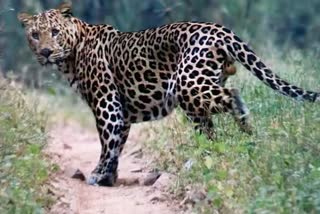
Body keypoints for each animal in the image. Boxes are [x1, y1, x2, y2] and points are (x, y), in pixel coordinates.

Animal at [18, 2, 318, 186]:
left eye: (54, 32)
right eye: (35, 35)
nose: (45, 52)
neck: (72, 54)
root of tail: (221, 29)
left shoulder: (107, 105)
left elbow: (106, 144)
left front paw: (97, 175)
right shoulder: (122, 114)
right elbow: (116, 145)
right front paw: (109, 177)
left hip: (189, 84)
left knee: (233, 95)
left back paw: (247, 135)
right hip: (195, 98)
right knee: (209, 130)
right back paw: (205, 159)